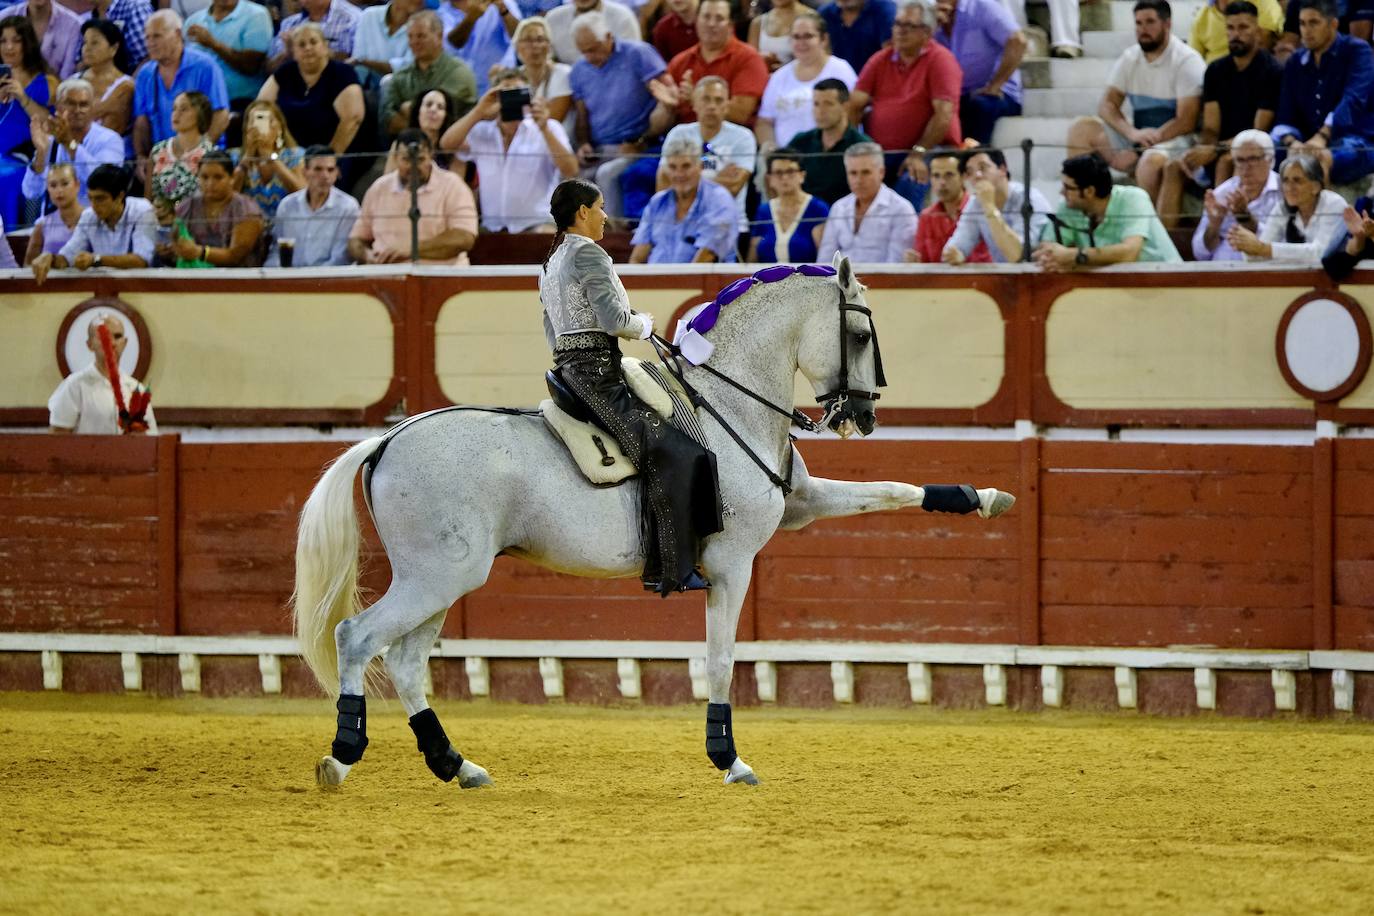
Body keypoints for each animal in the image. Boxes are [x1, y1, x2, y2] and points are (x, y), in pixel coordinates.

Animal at [295, 256, 1016, 791]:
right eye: (861, 336)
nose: (862, 416)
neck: (729, 399)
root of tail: (387, 440)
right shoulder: (732, 564)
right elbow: (721, 660)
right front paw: (729, 758)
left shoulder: (803, 505)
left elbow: (893, 488)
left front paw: (983, 497)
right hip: (436, 577)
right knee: (358, 638)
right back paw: (343, 753)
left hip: (446, 580)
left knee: (407, 660)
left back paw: (456, 764)